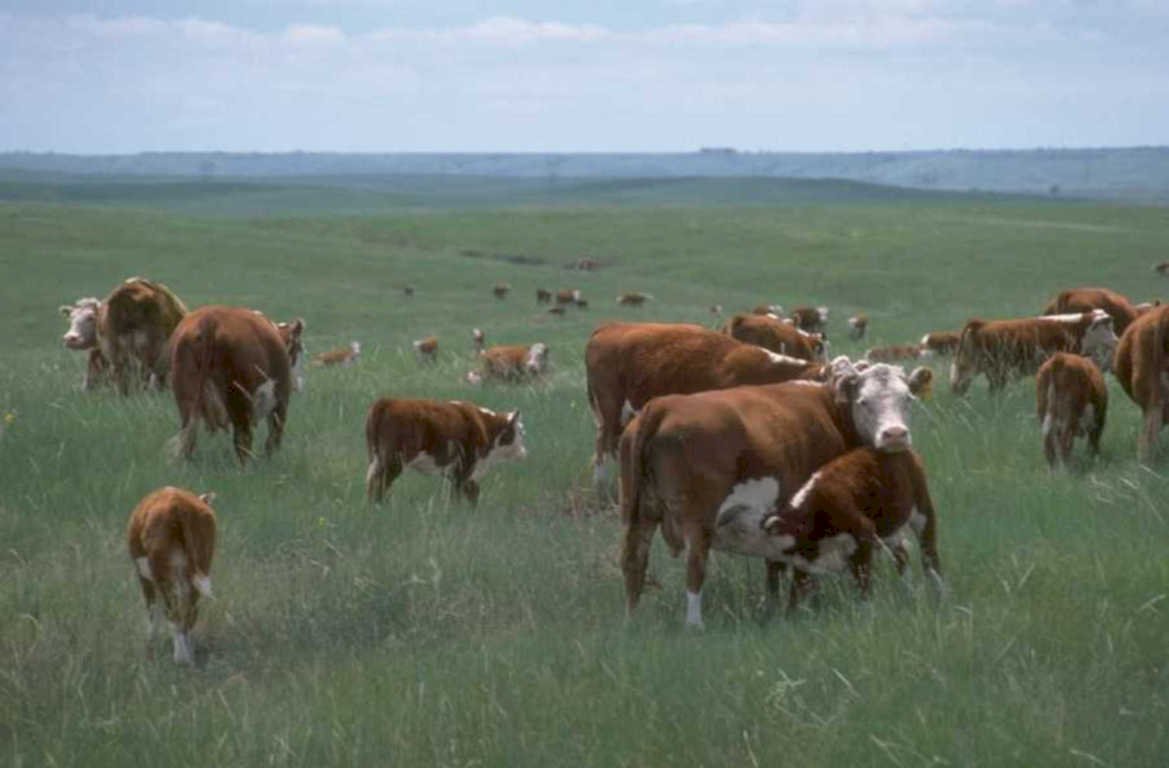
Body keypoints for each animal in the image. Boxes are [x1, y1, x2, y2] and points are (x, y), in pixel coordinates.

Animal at [127, 486, 216, 665]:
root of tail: (177, 503)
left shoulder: (144, 575)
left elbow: (153, 609)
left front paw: (150, 647)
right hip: (201, 563)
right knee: (190, 611)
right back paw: (189, 655)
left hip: (161, 571)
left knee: (172, 611)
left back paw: (180, 658)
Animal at [169, 306, 302, 464]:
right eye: (299, 349)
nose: (299, 383)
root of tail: (209, 319)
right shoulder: (280, 400)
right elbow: (273, 438)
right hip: (239, 400)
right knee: (243, 439)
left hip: (187, 399)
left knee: (188, 437)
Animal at [365, 398, 526, 504]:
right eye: (521, 431)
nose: (524, 452)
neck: (485, 426)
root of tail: (388, 401)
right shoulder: (464, 469)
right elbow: (458, 497)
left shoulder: (457, 473)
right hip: (393, 463)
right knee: (381, 484)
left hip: (377, 460)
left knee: (372, 483)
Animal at [759, 446, 942, 611]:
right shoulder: (805, 562)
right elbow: (797, 591)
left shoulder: (863, 535)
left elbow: (862, 582)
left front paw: (865, 611)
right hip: (889, 530)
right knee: (902, 554)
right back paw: (909, 591)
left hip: (922, 509)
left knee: (929, 552)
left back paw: (939, 591)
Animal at [950, 311, 1117, 395]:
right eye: (1107, 328)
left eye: (1111, 326)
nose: (1116, 340)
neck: (1076, 328)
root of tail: (982, 324)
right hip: (994, 371)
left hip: (970, 367)